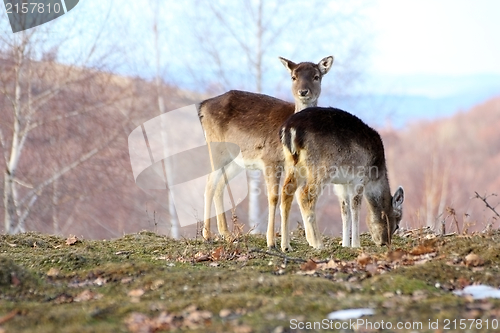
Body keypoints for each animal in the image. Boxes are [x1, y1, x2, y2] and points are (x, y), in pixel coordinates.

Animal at [197, 55, 334, 246]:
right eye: (293, 77)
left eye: (316, 76)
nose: (303, 91)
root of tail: (202, 106)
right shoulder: (270, 159)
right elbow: (274, 196)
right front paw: (271, 241)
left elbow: (296, 194)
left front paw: (310, 241)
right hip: (216, 147)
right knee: (210, 183)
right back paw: (207, 234)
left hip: (237, 160)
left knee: (220, 185)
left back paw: (227, 234)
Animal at [280, 107, 404, 250]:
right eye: (397, 225)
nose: (385, 242)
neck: (375, 176)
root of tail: (289, 128)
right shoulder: (359, 178)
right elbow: (355, 208)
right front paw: (356, 244)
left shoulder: (341, 184)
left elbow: (345, 210)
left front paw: (345, 244)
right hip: (322, 167)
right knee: (305, 195)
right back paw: (318, 243)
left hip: (292, 164)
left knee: (286, 191)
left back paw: (286, 246)